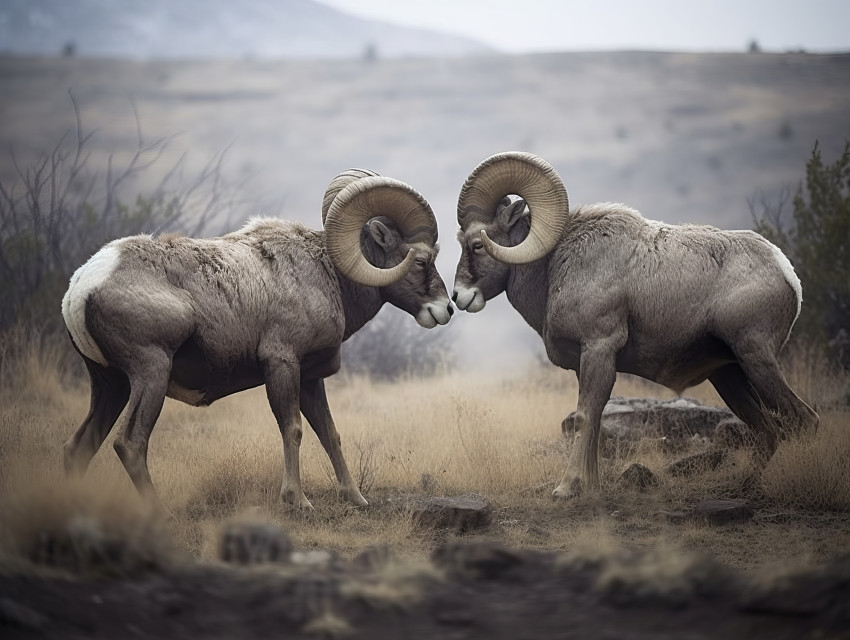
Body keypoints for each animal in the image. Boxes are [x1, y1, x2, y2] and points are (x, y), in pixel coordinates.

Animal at [61, 170, 453, 509]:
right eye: (421, 259)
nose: (445, 309)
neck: (327, 276)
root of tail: (82, 287)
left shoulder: (310, 379)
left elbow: (330, 434)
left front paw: (355, 498)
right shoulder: (282, 364)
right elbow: (292, 429)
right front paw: (298, 500)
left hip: (111, 386)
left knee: (78, 449)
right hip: (151, 374)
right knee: (130, 443)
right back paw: (158, 510)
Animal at [452, 151, 818, 499]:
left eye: (477, 244)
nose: (458, 296)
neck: (556, 266)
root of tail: (786, 273)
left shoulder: (599, 348)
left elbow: (585, 417)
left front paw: (566, 489)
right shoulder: (586, 364)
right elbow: (595, 422)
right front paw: (592, 489)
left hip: (755, 358)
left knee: (804, 421)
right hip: (728, 375)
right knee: (768, 431)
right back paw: (743, 487)